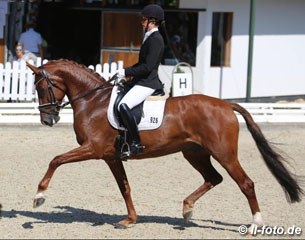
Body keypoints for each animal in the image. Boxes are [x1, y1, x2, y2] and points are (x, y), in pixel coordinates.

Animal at [26, 59, 302, 230]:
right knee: (214, 178)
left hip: (224, 153)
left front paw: (39, 197)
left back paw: (256, 223)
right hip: (194, 153)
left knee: (245, 183)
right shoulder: (111, 156)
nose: (47, 120)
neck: (94, 101)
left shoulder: (93, 149)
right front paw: (130, 220)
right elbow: (125, 188)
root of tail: (226, 104)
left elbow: (56, 160)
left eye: (41, 87)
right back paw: (187, 209)